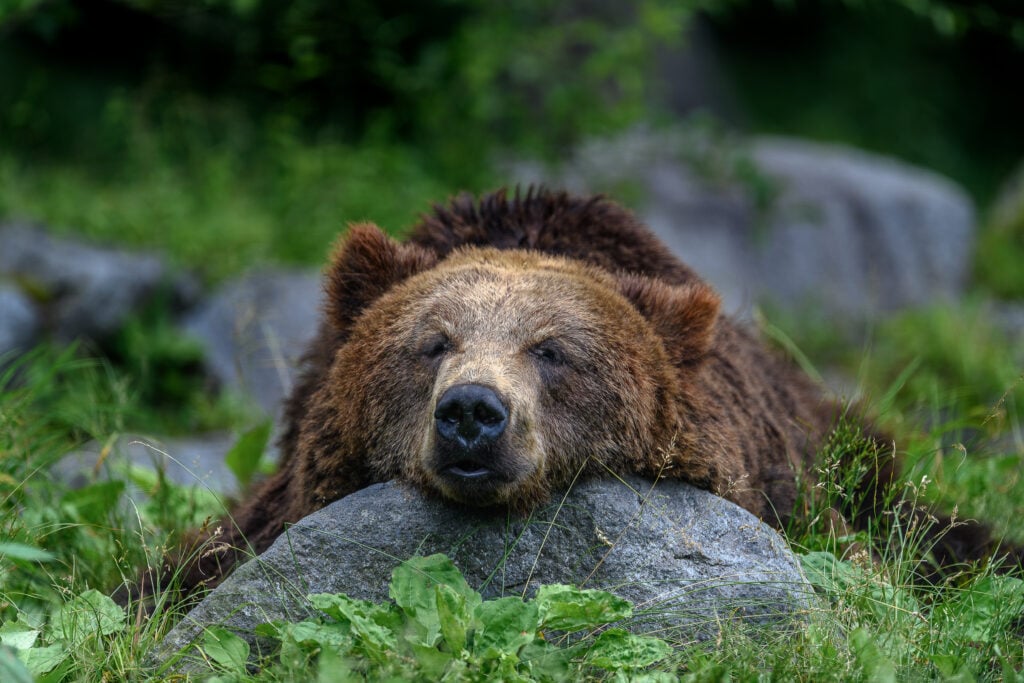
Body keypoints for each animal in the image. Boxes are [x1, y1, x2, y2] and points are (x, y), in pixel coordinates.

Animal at [167, 187, 1015, 598]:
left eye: (551, 350)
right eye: (433, 341)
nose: (471, 413)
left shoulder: (781, 489)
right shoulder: (283, 494)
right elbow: (194, 568)